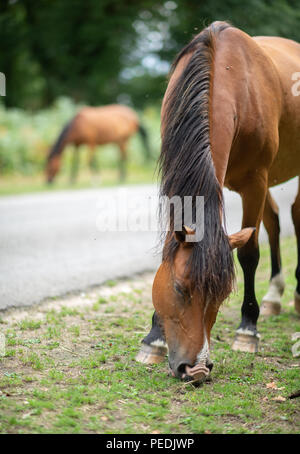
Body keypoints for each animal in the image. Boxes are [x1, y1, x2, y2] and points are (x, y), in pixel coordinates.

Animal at [135, 20, 300, 384]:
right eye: (179, 288)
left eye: (222, 295)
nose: (196, 368)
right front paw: (154, 339)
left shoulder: (256, 181)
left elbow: (250, 254)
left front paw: (247, 330)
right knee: (276, 220)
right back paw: (275, 296)